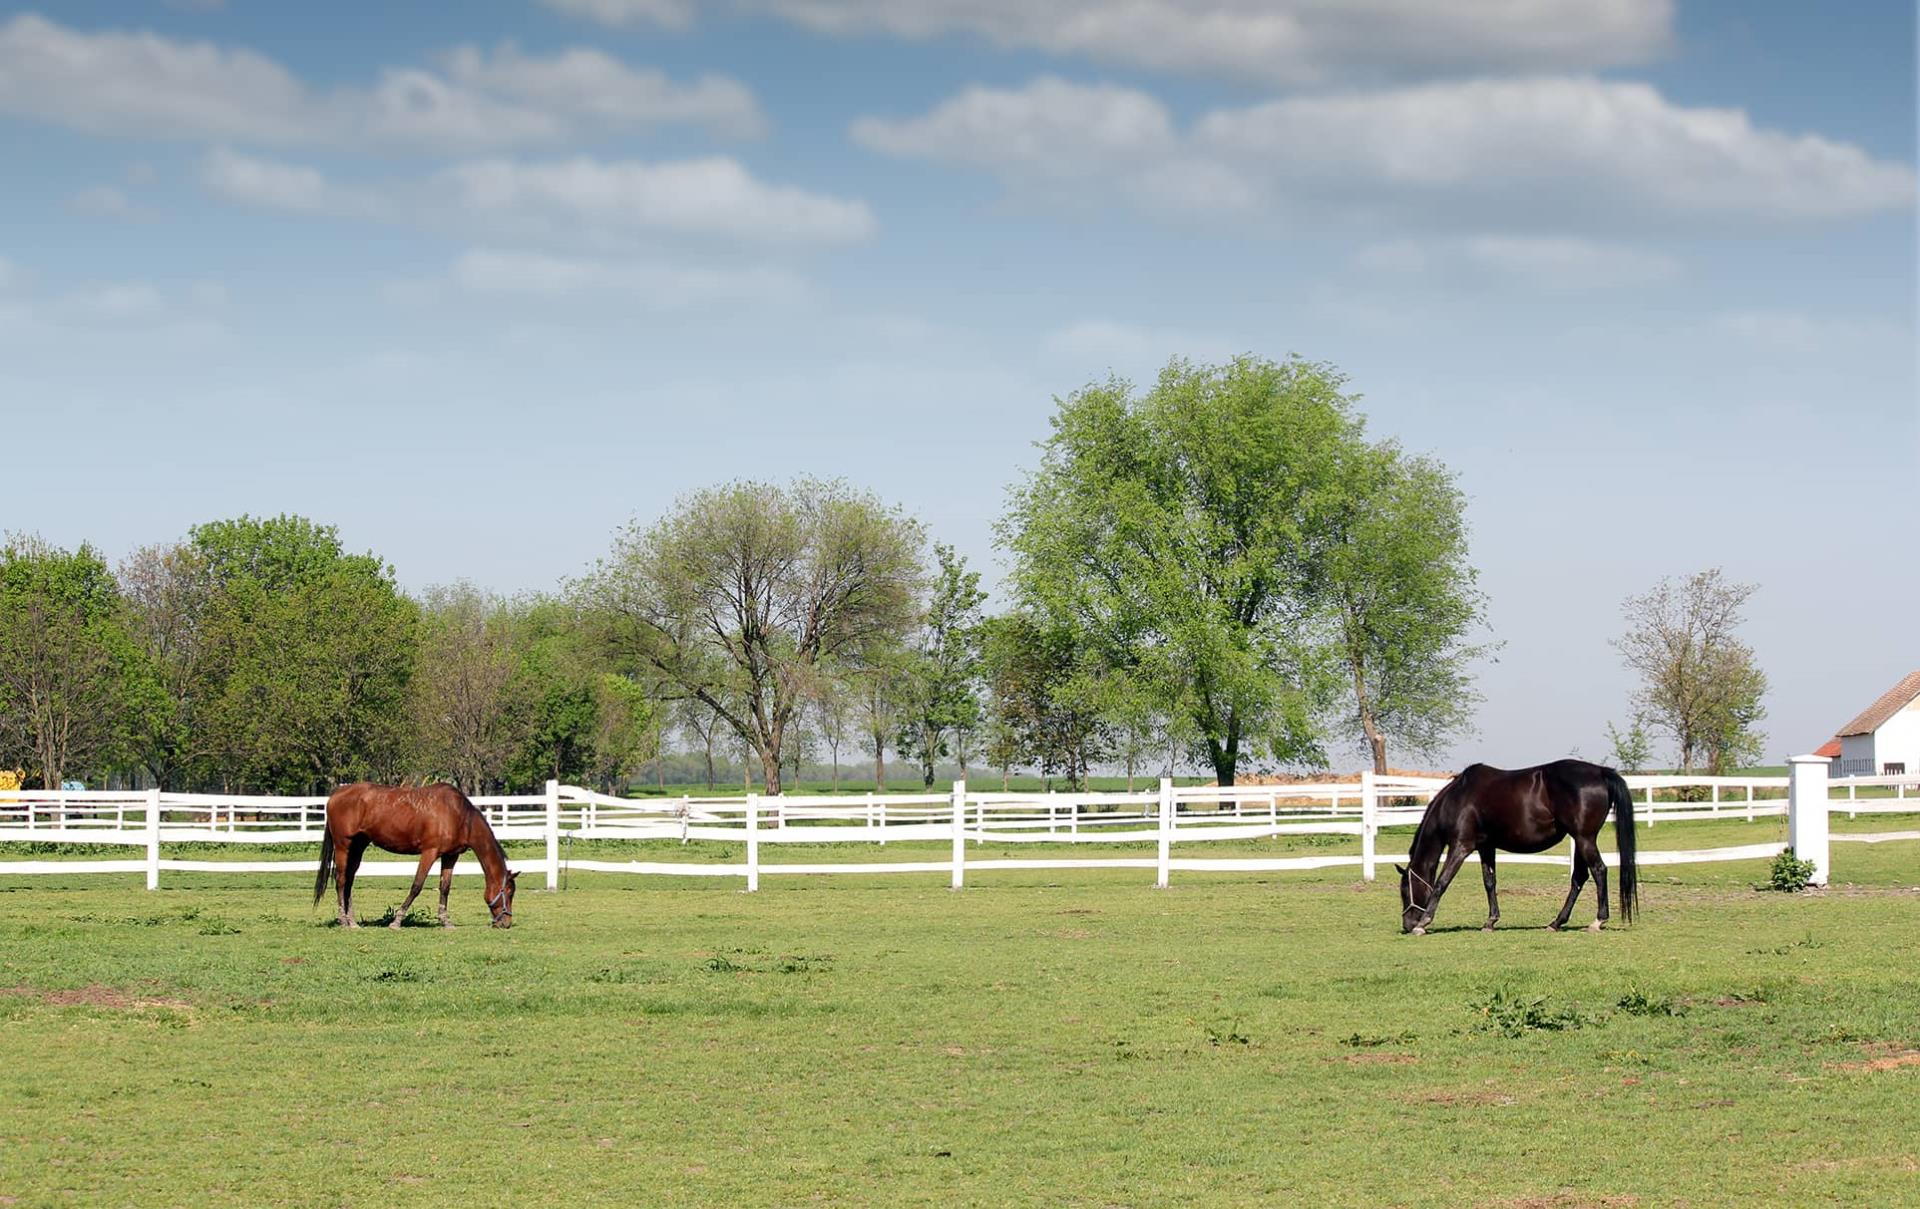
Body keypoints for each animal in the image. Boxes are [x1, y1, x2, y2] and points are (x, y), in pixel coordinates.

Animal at [311, 782, 518, 932]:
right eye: (508, 893)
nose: (506, 923)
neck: (459, 815)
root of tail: (337, 793)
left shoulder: (450, 856)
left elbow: (445, 888)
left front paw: (445, 921)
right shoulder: (429, 852)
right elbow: (417, 885)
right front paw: (396, 921)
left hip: (358, 846)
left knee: (349, 881)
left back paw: (352, 921)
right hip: (343, 845)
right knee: (341, 880)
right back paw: (343, 920)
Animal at [1397, 763, 1635, 944]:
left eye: (1405, 891)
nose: (1407, 925)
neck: (1458, 798)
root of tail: (1600, 771)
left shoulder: (1461, 847)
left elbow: (1442, 883)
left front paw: (1423, 923)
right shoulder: (1486, 847)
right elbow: (1489, 882)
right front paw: (1490, 922)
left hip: (1585, 839)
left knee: (1599, 870)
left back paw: (1598, 921)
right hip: (1579, 840)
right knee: (1579, 877)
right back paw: (1556, 923)